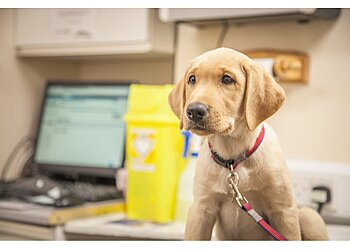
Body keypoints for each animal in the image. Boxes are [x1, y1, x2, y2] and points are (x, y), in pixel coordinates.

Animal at [169, 47, 328, 240]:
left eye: (227, 79)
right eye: (192, 79)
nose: (194, 111)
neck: (233, 159)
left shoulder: (284, 210)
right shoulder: (200, 209)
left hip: (308, 215)